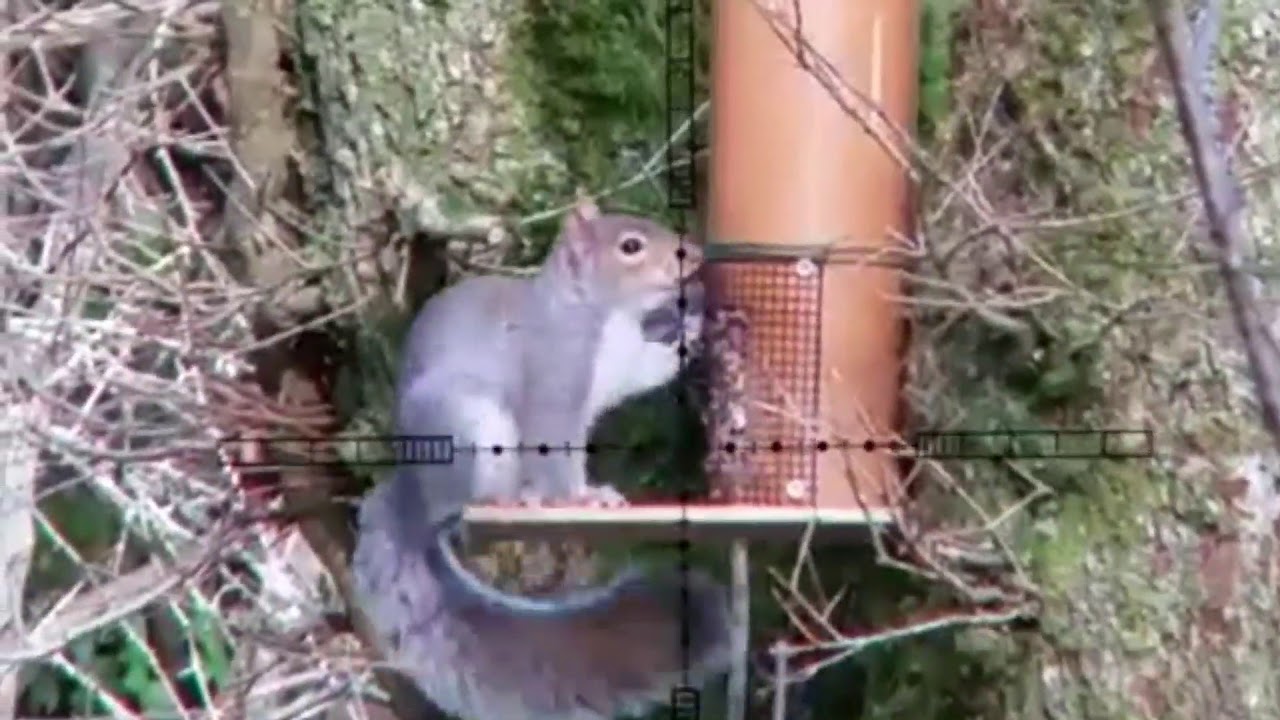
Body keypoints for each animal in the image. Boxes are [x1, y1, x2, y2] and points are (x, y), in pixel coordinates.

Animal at [352, 199, 732, 720]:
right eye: (630, 246)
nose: (691, 253)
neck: (596, 315)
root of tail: (413, 495)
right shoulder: (553, 383)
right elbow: (553, 445)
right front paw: (583, 498)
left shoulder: (623, 364)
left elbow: (651, 369)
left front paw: (692, 310)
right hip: (471, 426)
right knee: (465, 507)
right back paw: (514, 501)